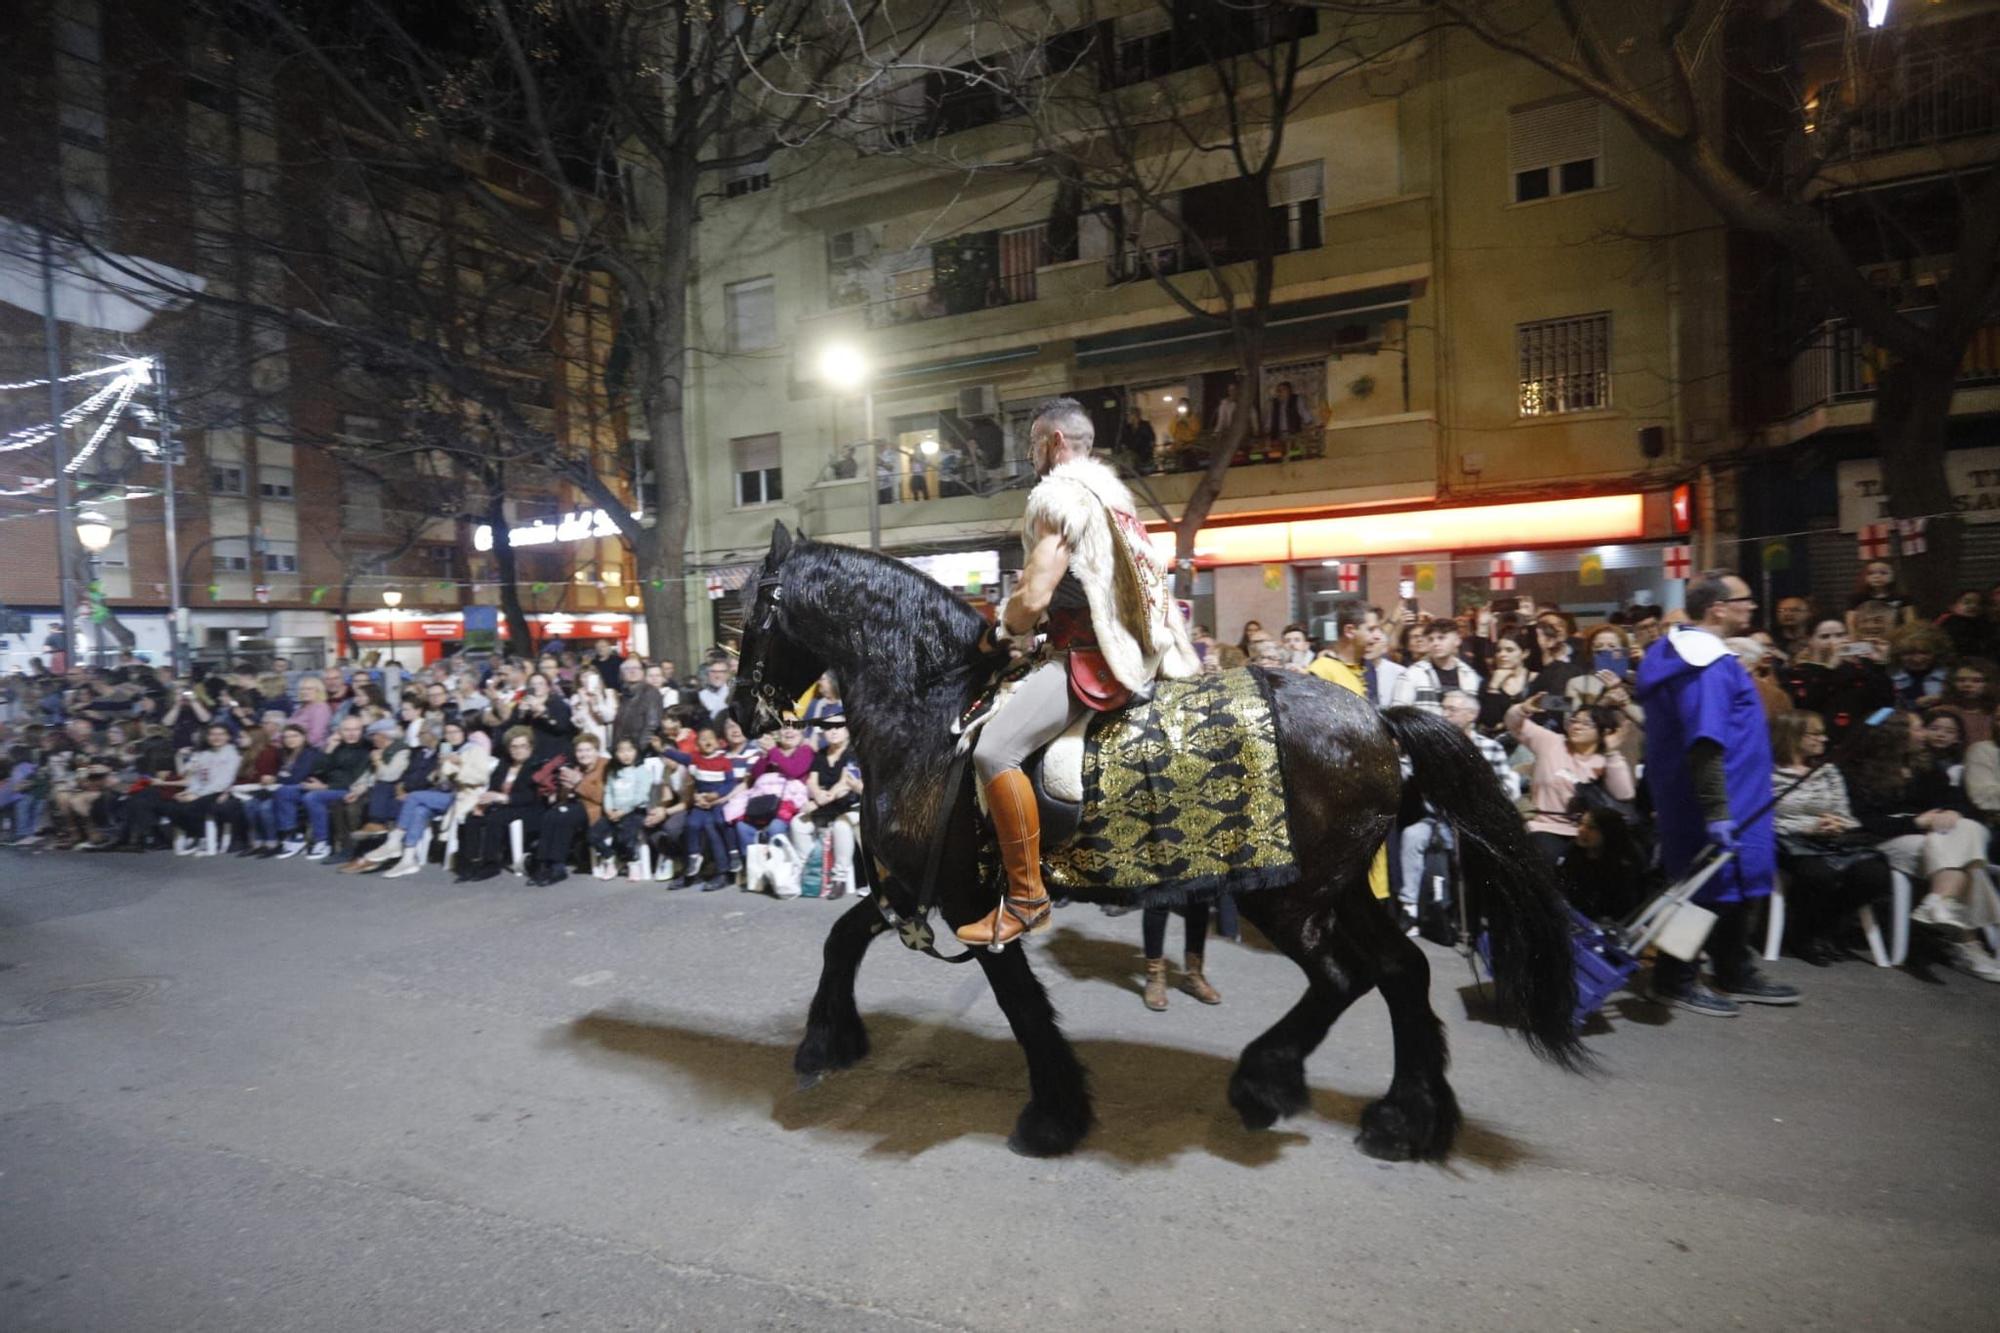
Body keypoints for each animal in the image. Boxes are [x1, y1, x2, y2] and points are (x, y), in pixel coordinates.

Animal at [728, 524, 1584, 1160]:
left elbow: (1019, 1000)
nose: (740, 711)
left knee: (1348, 976)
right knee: (1402, 971)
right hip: (1339, 887)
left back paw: (1272, 1082)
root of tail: (1377, 719)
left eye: (753, 614)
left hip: (1286, 893)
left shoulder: (969, 897)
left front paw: (1055, 1113)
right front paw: (826, 1040)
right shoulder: (911, 883)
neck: (931, 708)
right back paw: (1405, 1117)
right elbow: (843, 937)